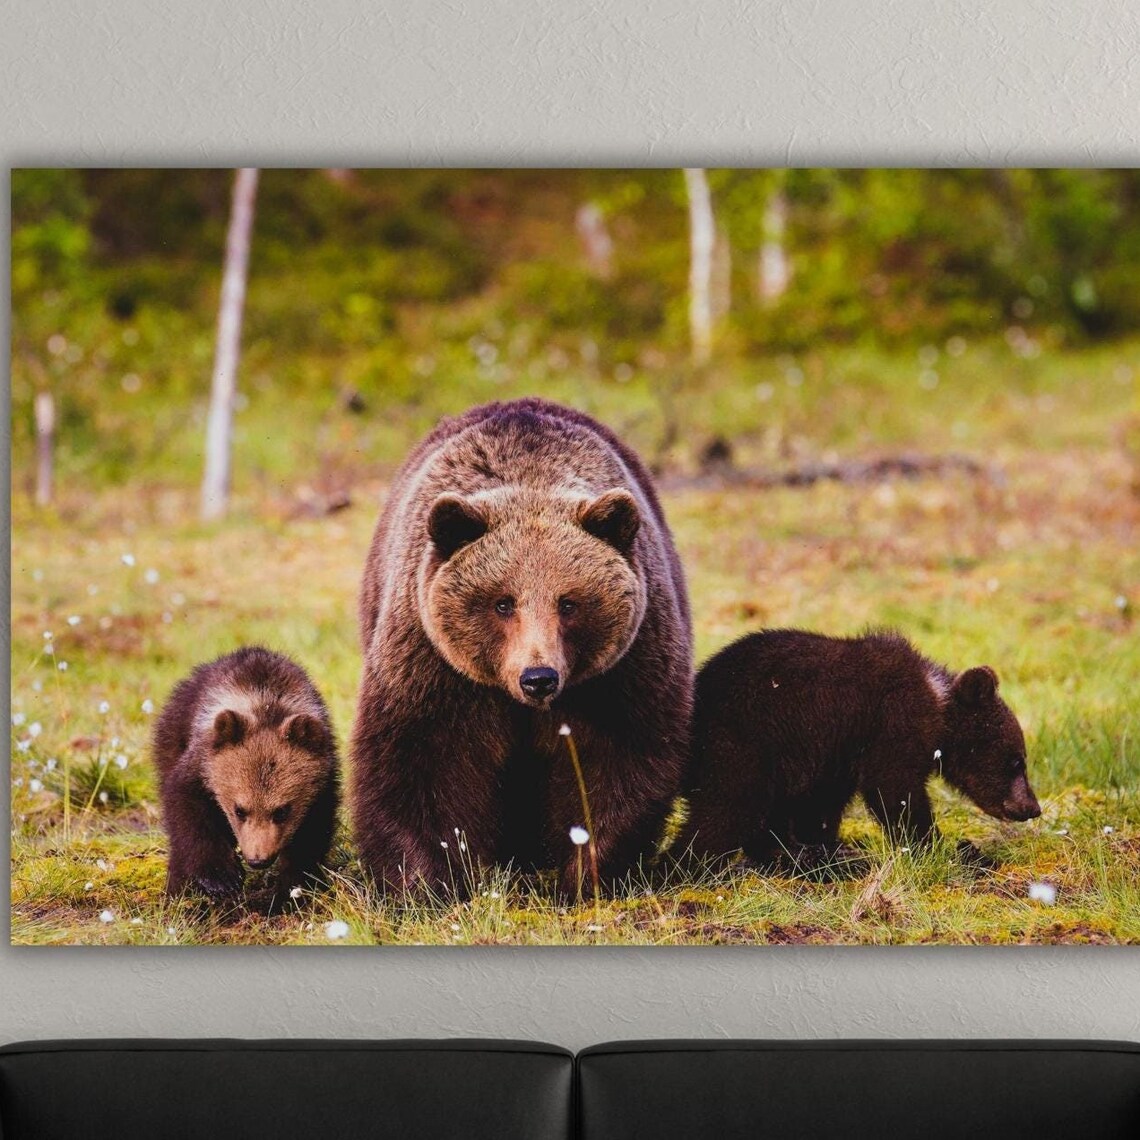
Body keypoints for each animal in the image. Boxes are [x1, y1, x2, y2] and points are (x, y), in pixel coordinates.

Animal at [153, 646, 340, 906]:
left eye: (282, 811)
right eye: (239, 810)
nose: (258, 859)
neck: (265, 704)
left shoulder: (323, 784)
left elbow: (312, 833)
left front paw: (290, 889)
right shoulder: (201, 764)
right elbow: (187, 809)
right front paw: (221, 878)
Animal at [350, 398, 693, 897]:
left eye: (568, 602)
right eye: (502, 602)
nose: (538, 678)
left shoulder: (619, 673)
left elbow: (617, 760)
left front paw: (583, 873)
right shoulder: (435, 666)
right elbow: (418, 759)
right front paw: (428, 881)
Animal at [674, 629, 1040, 874]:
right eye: (1016, 761)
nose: (1032, 807)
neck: (938, 708)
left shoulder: (837, 754)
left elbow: (820, 806)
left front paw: (821, 846)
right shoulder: (890, 724)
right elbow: (894, 789)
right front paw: (936, 847)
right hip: (740, 744)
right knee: (725, 812)